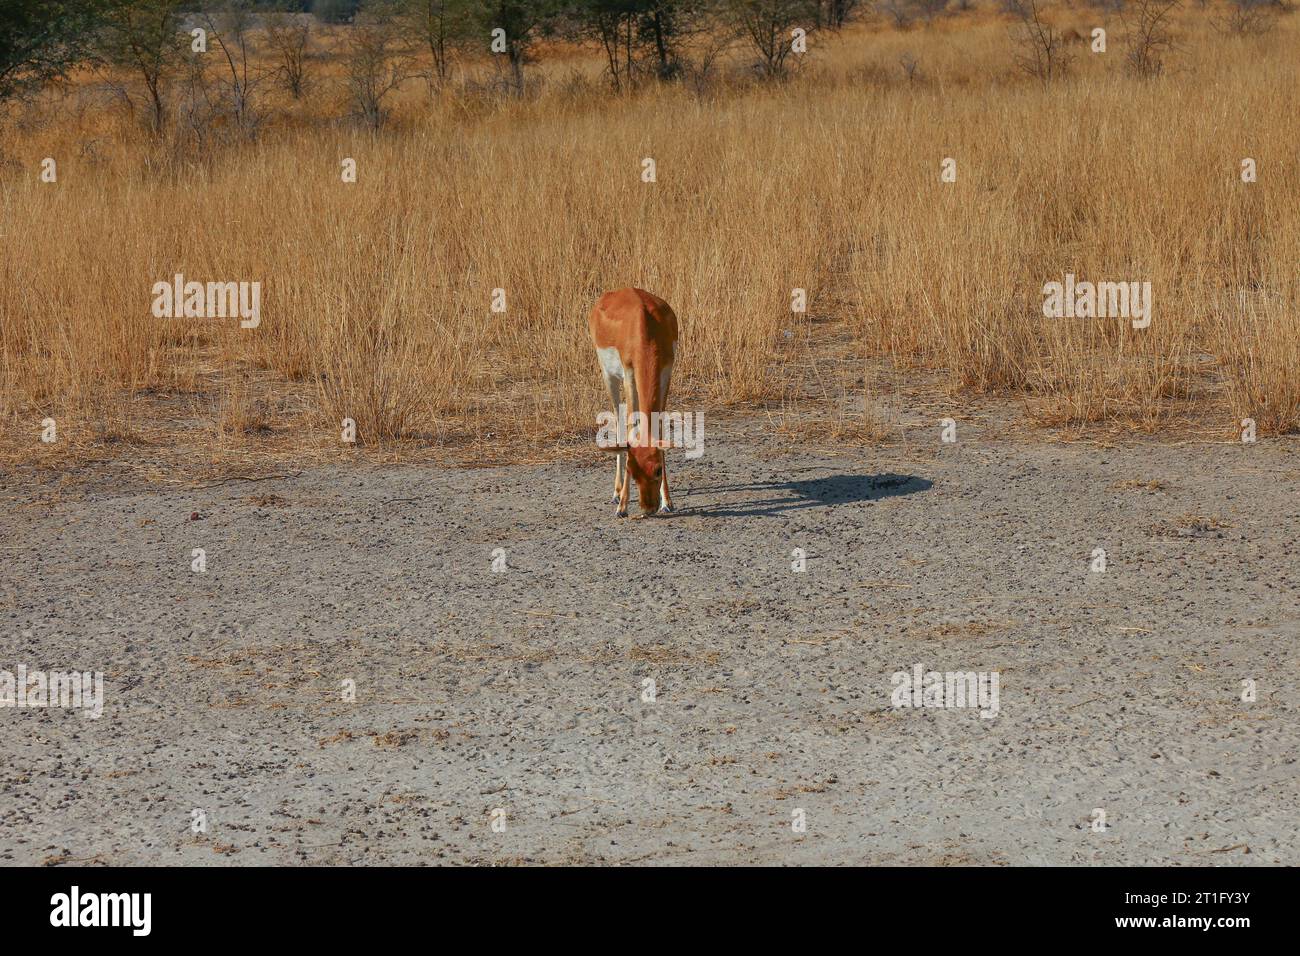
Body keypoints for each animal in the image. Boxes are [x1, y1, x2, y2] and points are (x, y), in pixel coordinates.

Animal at [592, 287, 681, 520]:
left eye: (658, 469)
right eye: (632, 472)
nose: (648, 509)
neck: (645, 327)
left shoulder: (666, 372)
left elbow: (660, 428)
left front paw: (667, 502)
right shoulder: (629, 375)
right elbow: (630, 426)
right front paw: (622, 507)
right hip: (609, 377)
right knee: (618, 419)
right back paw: (616, 494)